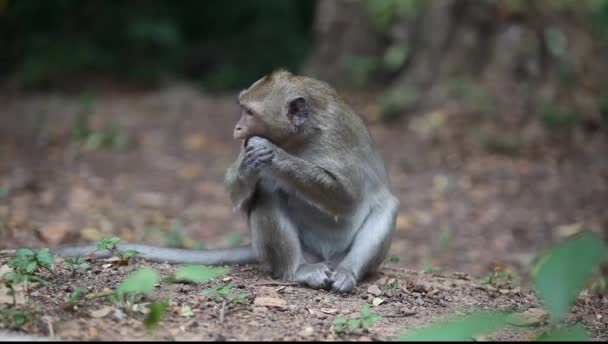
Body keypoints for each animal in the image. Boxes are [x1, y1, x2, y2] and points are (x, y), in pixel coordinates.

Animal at [51, 70, 400, 292]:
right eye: (241, 109)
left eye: (249, 112)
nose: (236, 128)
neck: (301, 135)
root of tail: (324, 257)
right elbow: (238, 192)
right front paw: (250, 165)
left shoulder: (336, 137)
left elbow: (347, 197)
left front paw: (275, 156)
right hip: (305, 252)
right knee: (267, 194)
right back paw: (298, 271)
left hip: (344, 251)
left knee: (386, 207)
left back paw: (347, 272)